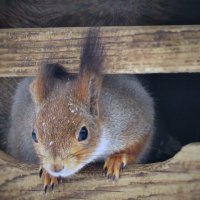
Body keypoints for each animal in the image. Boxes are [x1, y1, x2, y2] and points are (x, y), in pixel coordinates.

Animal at [6, 28, 155, 191]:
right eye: (34, 135)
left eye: (84, 133)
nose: (56, 167)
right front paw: (48, 173)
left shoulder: (132, 118)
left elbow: (138, 144)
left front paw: (117, 158)